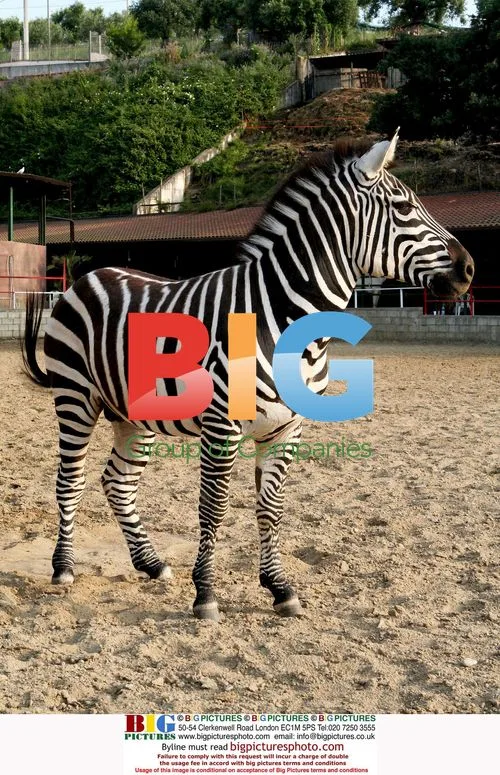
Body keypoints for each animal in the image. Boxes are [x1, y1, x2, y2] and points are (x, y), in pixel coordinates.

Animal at [22, 132, 474, 621]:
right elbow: (214, 506)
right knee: (71, 481)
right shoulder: (223, 424)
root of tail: (90, 274)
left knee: (118, 483)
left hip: (132, 414)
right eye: (404, 207)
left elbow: (270, 509)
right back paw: (63, 568)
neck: (285, 319)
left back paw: (151, 563)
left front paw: (279, 587)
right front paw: (205, 594)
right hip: (75, 396)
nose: (469, 269)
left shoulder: (288, 427)